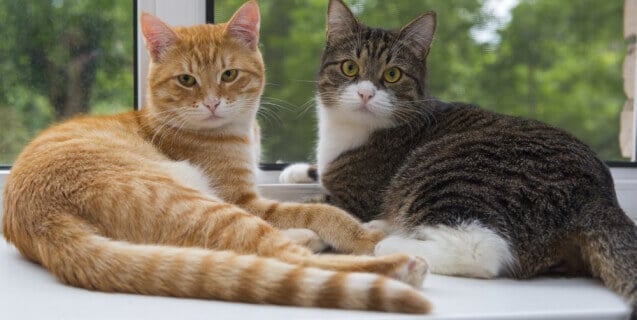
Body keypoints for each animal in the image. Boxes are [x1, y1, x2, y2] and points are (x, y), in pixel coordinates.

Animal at [0, 0, 430, 314]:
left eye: (228, 75)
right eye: (186, 80)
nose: (211, 103)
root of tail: (43, 220)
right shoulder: (244, 200)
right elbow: (322, 211)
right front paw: (359, 233)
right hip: (199, 203)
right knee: (284, 257)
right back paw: (398, 263)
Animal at [282, 0, 636, 316]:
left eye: (393, 74)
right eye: (349, 67)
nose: (366, 93)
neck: (348, 131)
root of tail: (601, 193)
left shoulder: (354, 197)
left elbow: (310, 206)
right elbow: (317, 175)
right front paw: (295, 170)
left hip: (447, 169)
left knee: (482, 251)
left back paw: (391, 241)